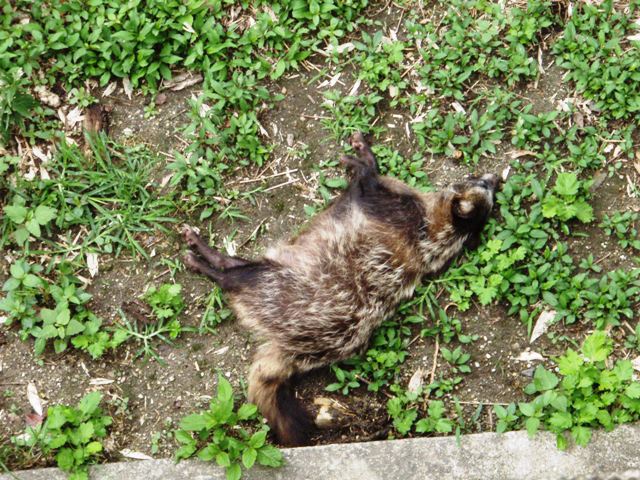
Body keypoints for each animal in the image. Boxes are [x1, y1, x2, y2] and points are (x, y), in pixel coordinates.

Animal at [182, 131, 498, 446]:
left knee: (236, 276)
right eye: (482, 182)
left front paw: (363, 161)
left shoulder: (383, 206)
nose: (495, 177)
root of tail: (293, 349)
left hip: (273, 283)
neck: (435, 231)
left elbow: (366, 182)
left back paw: (208, 260)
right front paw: (364, 156)